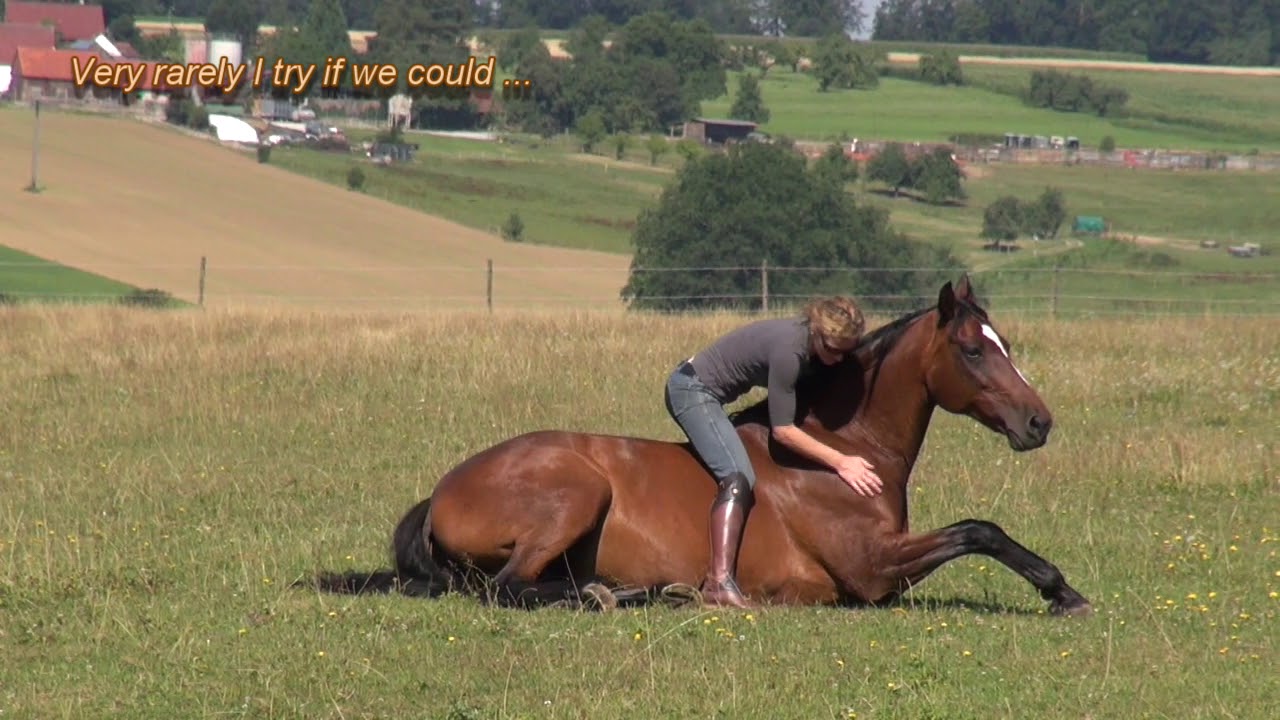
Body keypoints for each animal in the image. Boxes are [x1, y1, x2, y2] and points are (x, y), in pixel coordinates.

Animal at [307, 275, 1092, 617]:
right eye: (972, 350)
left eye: (1003, 342)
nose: (1039, 423)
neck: (842, 449)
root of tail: (441, 489)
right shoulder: (870, 573)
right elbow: (979, 530)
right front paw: (1062, 591)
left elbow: (978, 531)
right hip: (576, 491)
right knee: (506, 589)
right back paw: (623, 596)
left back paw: (639, 589)